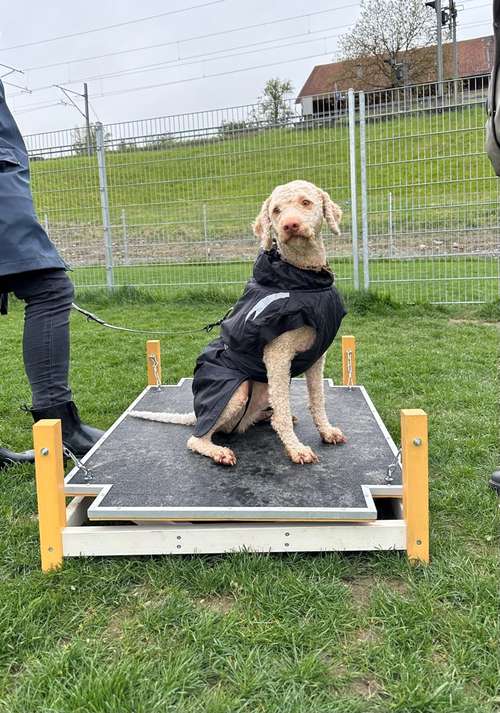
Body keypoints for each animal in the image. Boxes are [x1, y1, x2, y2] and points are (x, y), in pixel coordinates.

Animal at [131, 179, 346, 462]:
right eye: (276, 211)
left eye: (306, 202)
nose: (289, 225)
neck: (305, 281)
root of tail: (196, 414)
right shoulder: (277, 356)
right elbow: (284, 412)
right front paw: (296, 448)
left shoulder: (317, 357)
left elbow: (318, 400)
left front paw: (326, 430)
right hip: (239, 390)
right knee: (197, 438)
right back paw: (219, 450)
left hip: (263, 387)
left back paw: (264, 417)